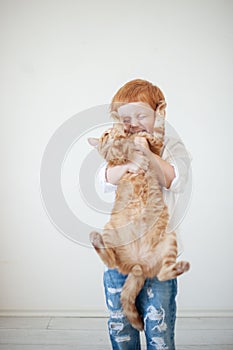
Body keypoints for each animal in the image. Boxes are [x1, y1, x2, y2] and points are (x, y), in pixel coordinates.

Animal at [88, 104, 190, 330]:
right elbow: (152, 133)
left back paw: (180, 266)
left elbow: (154, 133)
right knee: (111, 261)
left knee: (163, 273)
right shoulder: (119, 158)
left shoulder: (155, 147)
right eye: (104, 135)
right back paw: (96, 240)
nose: (111, 132)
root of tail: (137, 265)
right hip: (111, 231)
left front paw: (138, 134)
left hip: (169, 240)